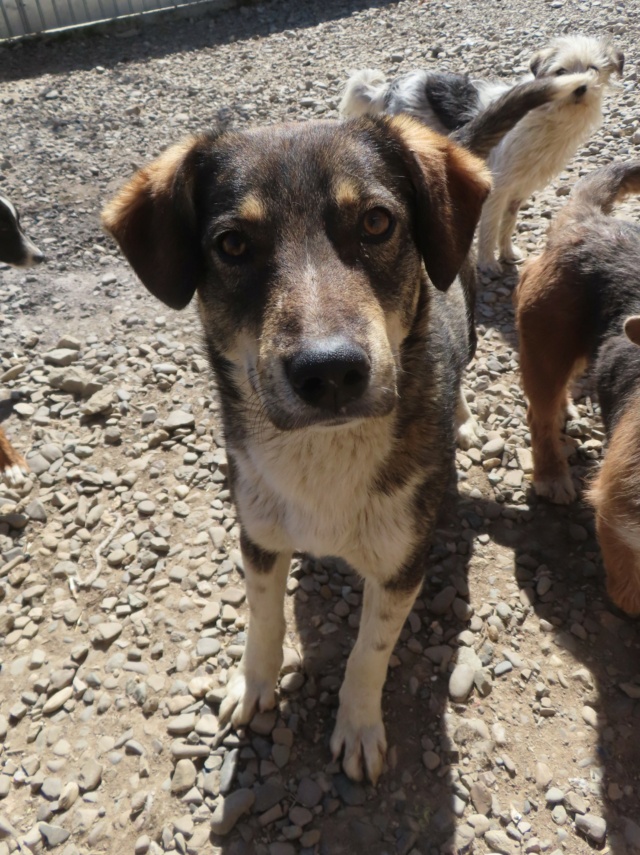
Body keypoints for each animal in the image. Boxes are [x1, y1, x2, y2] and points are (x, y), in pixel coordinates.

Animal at [516, 160, 640, 616]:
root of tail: (587, 221)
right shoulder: (619, 513)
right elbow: (628, 588)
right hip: (546, 351)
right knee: (538, 416)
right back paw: (552, 473)